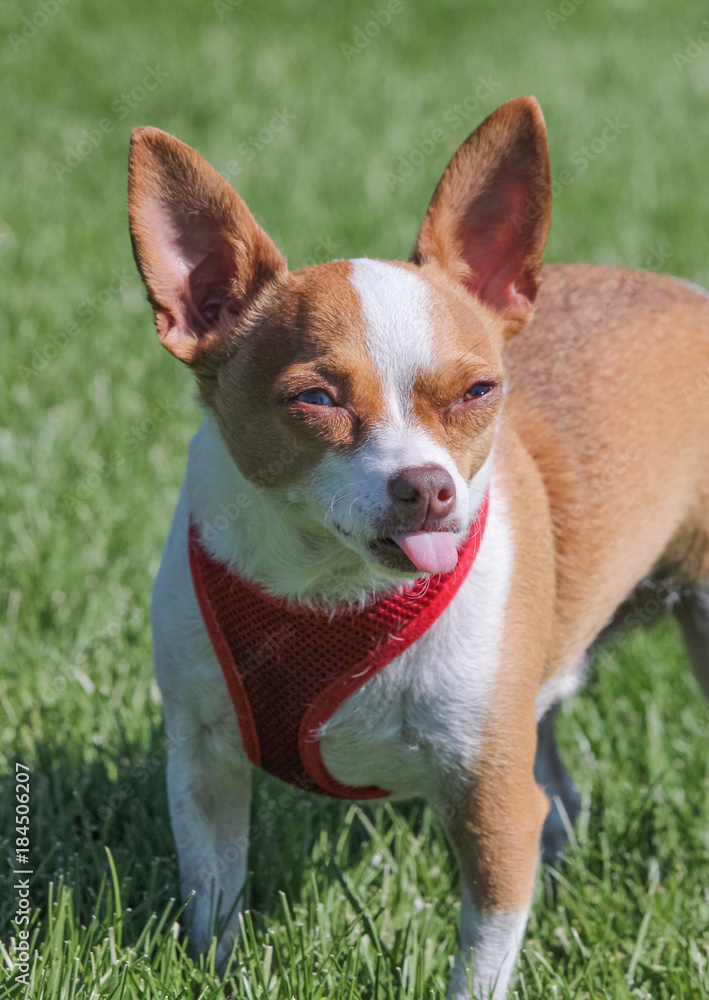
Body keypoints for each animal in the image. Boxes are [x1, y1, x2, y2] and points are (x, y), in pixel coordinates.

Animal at [126, 95, 708, 1000]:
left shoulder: (491, 801)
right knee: (560, 792)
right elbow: (213, 897)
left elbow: (481, 953)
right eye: (315, 399)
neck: (329, 590)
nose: (427, 485)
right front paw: (217, 975)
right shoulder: (202, 766)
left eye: (478, 392)